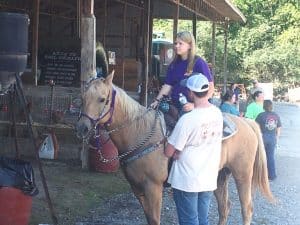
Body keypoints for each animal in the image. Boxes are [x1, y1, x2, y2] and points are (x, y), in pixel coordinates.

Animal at [76, 72, 274, 225]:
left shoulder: (154, 188)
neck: (139, 132)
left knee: (246, 208)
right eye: (82, 99)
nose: (83, 128)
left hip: (243, 175)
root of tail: (247, 123)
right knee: (224, 208)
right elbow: (149, 219)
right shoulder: (137, 189)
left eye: (102, 99)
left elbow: (155, 220)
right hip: (220, 176)